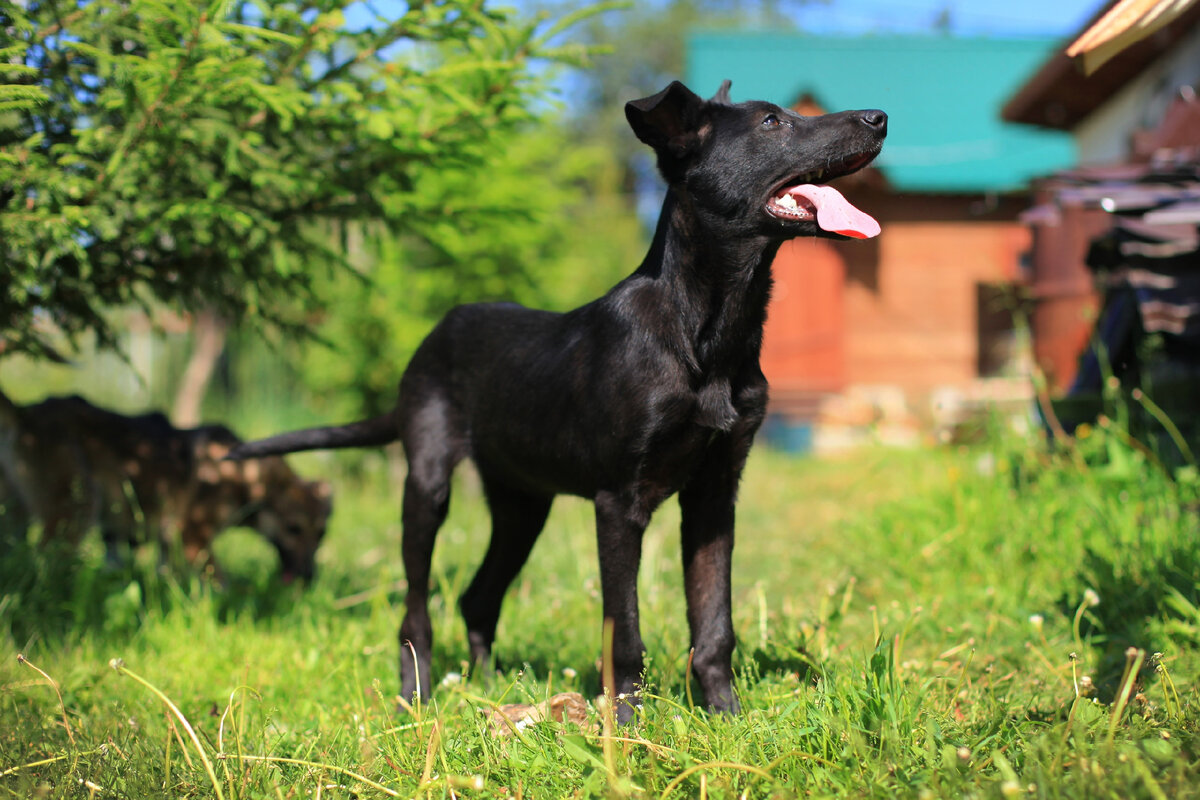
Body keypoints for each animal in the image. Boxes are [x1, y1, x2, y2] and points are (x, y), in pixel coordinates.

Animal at [229, 81, 883, 719]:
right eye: (772, 122)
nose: (877, 118)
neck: (704, 332)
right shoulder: (619, 501)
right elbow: (625, 631)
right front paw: (627, 729)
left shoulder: (715, 492)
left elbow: (714, 622)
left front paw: (725, 718)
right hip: (428, 484)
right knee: (416, 612)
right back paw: (416, 698)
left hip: (522, 503)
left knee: (477, 597)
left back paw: (488, 687)